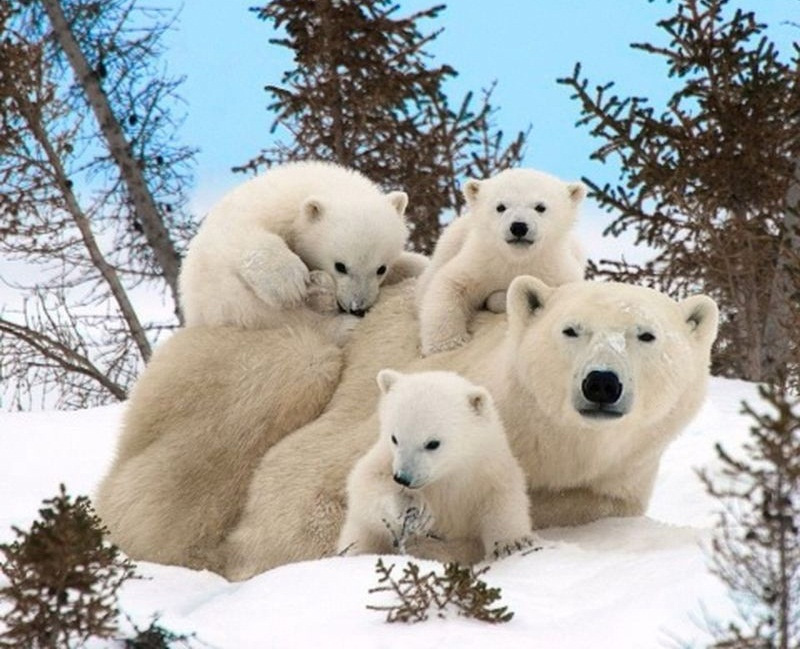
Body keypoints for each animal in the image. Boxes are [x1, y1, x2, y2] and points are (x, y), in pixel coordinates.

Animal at [95, 276, 720, 580]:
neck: (554, 442)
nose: (601, 384)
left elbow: (573, 505)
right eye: (571, 329)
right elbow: (307, 476)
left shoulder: (616, 478)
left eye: (645, 335)